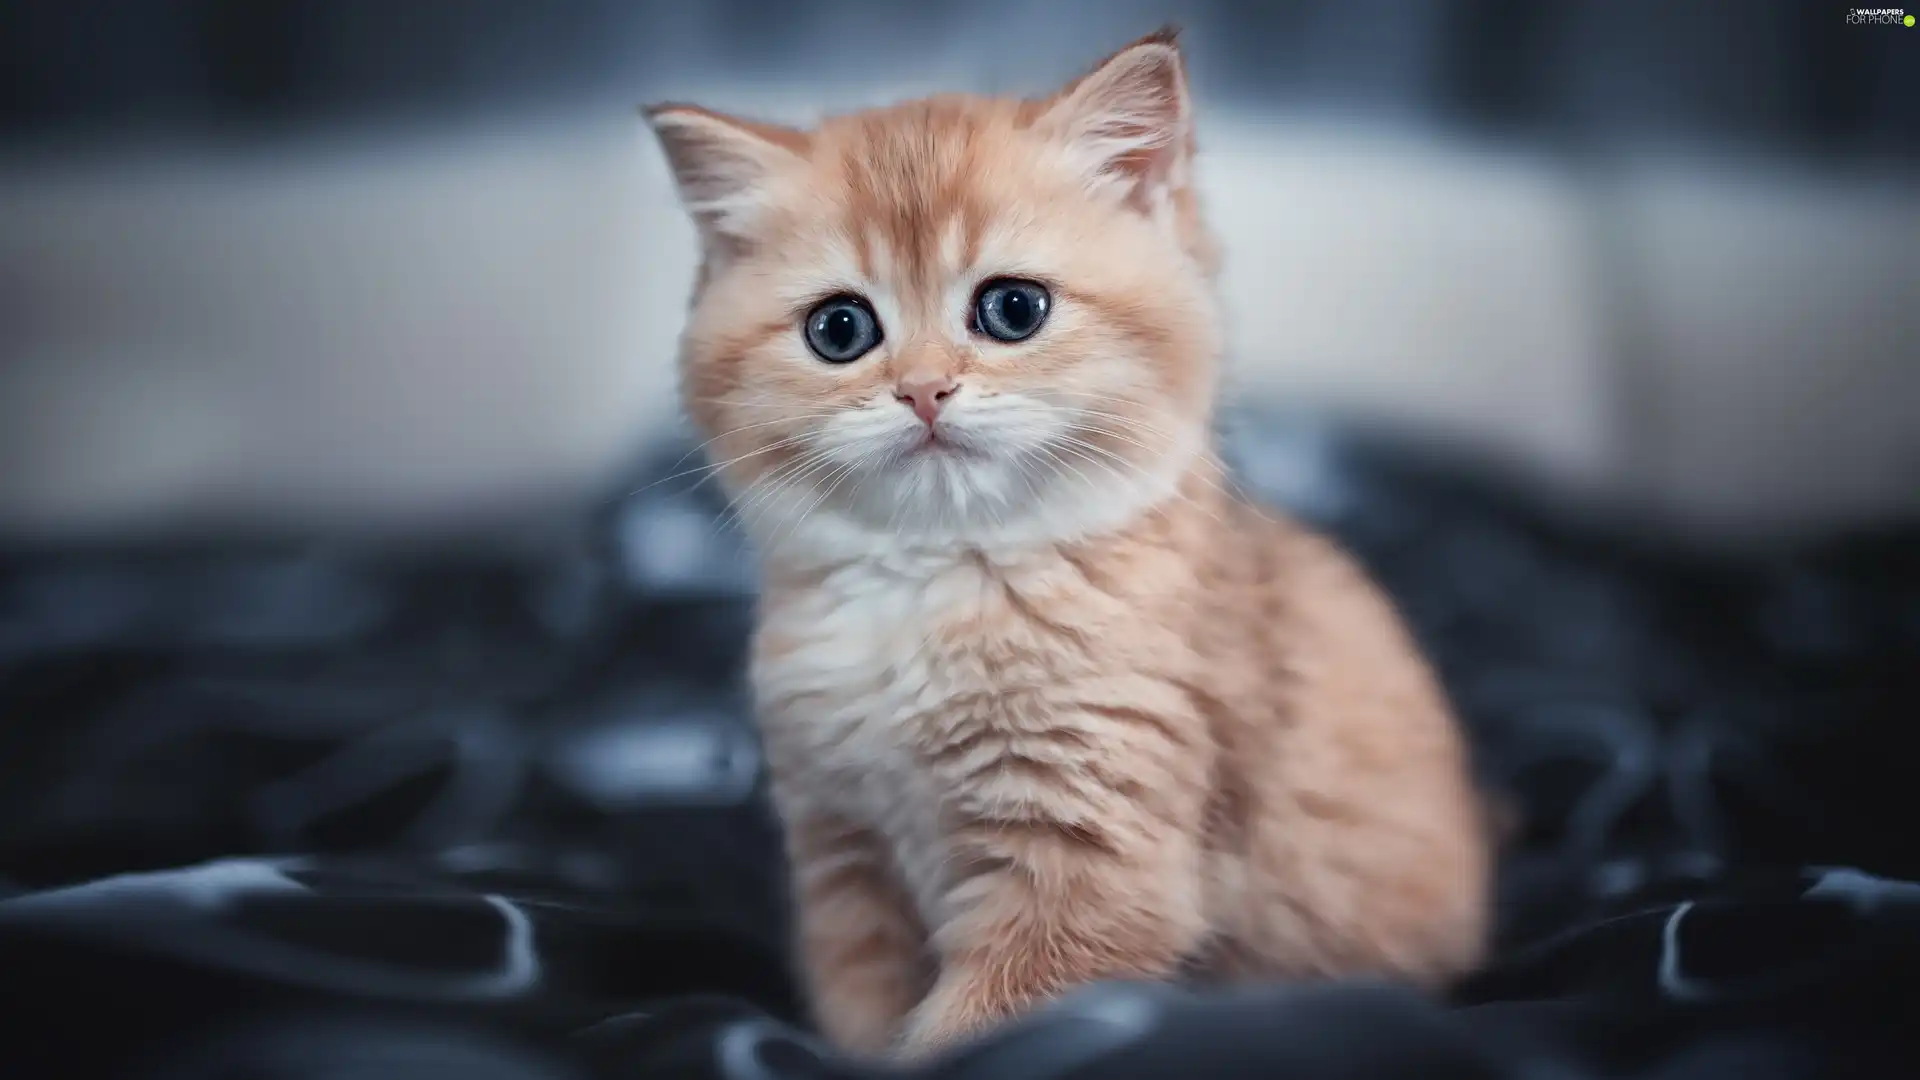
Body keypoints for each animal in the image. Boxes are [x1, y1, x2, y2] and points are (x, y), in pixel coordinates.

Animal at [652, 27, 1489, 1060]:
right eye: (839, 328)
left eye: (1013, 309)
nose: (923, 389)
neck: (936, 585)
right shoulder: (846, 864)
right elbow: (864, 1015)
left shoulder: (1090, 878)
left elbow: (973, 1034)